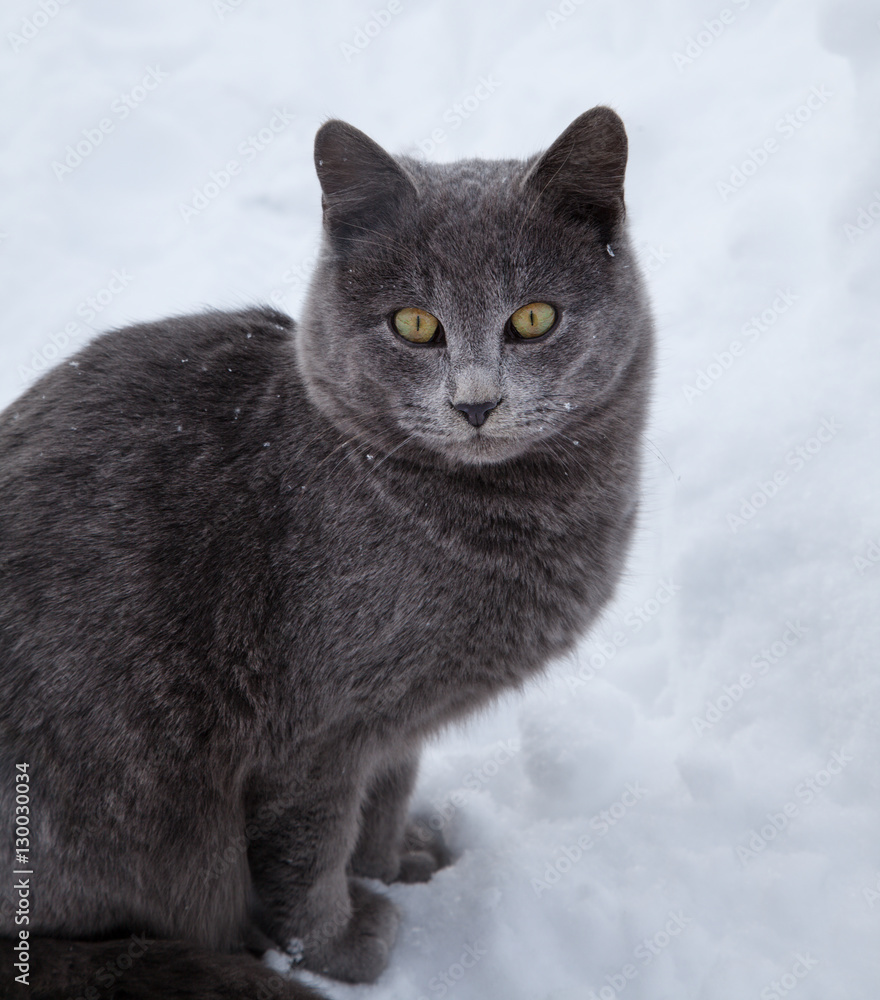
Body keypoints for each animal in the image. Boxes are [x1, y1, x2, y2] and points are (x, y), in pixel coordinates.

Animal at [0, 105, 652, 996]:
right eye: (414, 325)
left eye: (533, 318)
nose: (475, 403)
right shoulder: (313, 734)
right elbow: (308, 856)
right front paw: (343, 948)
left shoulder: (394, 721)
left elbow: (387, 792)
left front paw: (396, 863)